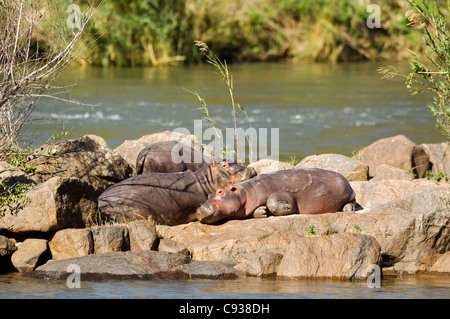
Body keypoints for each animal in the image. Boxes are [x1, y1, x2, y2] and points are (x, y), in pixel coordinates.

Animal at [197, 168, 356, 225]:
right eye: (209, 194)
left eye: (220, 192)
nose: (198, 209)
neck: (246, 192)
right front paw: (261, 212)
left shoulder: (279, 193)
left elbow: (273, 202)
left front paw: (288, 208)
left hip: (348, 192)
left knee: (352, 201)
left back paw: (348, 210)